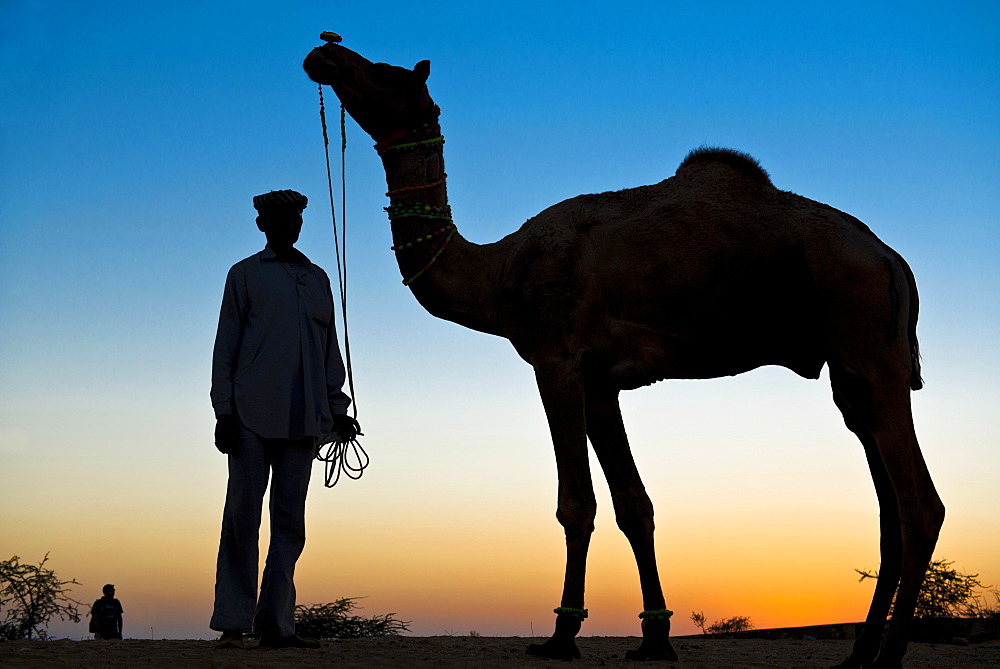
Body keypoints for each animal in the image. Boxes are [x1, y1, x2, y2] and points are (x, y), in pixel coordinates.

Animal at [304, 43, 944, 668]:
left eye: (387, 71)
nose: (324, 53)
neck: (499, 272)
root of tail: (893, 259)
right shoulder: (600, 380)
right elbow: (634, 506)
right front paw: (655, 639)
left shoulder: (555, 358)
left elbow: (576, 503)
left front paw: (561, 637)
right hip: (849, 371)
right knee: (886, 501)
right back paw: (858, 652)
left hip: (871, 347)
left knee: (921, 505)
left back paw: (889, 657)